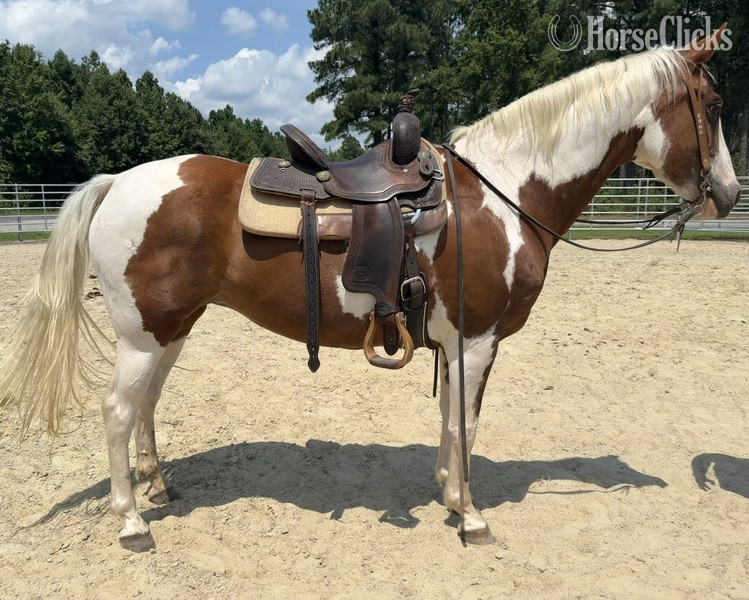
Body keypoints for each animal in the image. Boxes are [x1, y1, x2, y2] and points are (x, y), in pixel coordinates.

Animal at [0, 29, 740, 548]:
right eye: (711, 104)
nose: (729, 195)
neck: (504, 192)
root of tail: (116, 183)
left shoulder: (456, 342)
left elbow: (449, 422)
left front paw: (448, 496)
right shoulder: (477, 339)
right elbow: (466, 423)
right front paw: (470, 515)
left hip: (170, 330)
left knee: (145, 406)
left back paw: (159, 487)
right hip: (144, 334)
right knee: (117, 413)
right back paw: (131, 522)